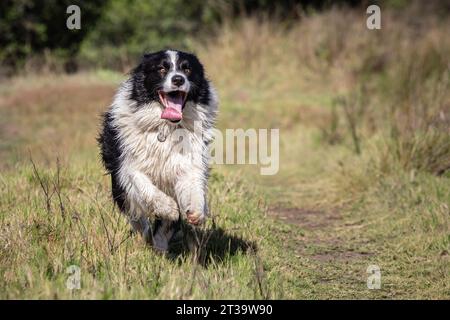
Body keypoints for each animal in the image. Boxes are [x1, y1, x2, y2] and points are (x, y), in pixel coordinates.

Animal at [98, 48, 218, 251]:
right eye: (162, 68)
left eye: (187, 69)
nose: (178, 79)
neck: (166, 127)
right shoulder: (128, 166)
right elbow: (145, 187)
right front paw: (168, 208)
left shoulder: (187, 162)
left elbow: (193, 185)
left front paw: (196, 211)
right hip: (119, 188)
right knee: (136, 215)